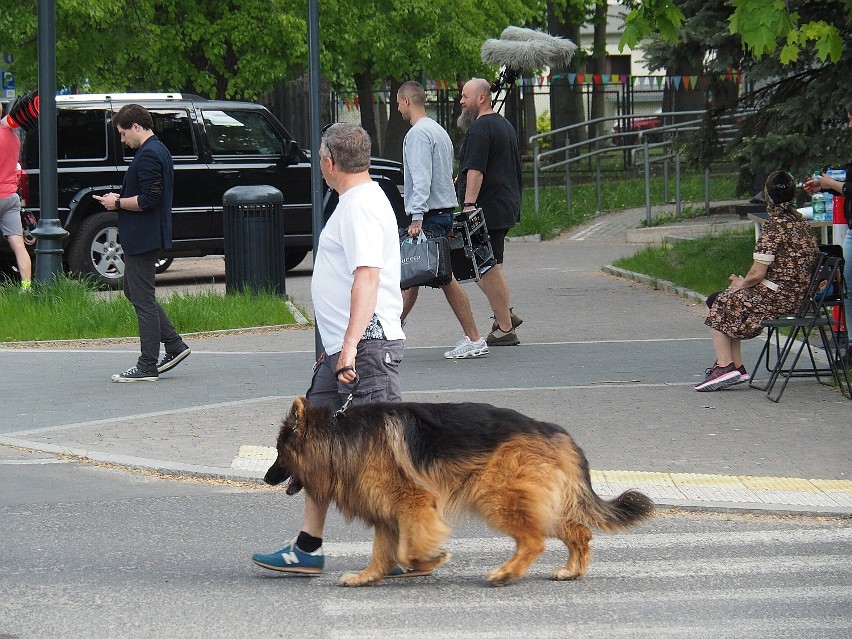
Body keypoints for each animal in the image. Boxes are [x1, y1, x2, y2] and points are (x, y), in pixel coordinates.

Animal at [264, 398, 652, 588]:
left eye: (280, 452)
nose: (267, 478)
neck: (339, 438)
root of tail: (555, 432)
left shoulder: (415, 505)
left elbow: (406, 550)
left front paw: (429, 561)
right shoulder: (389, 514)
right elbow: (383, 551)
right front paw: (368, 576)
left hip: (497, 497)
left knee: (534, 541)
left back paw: (506, 573)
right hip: (541, 503)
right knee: (579, 532)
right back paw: (571, 571)